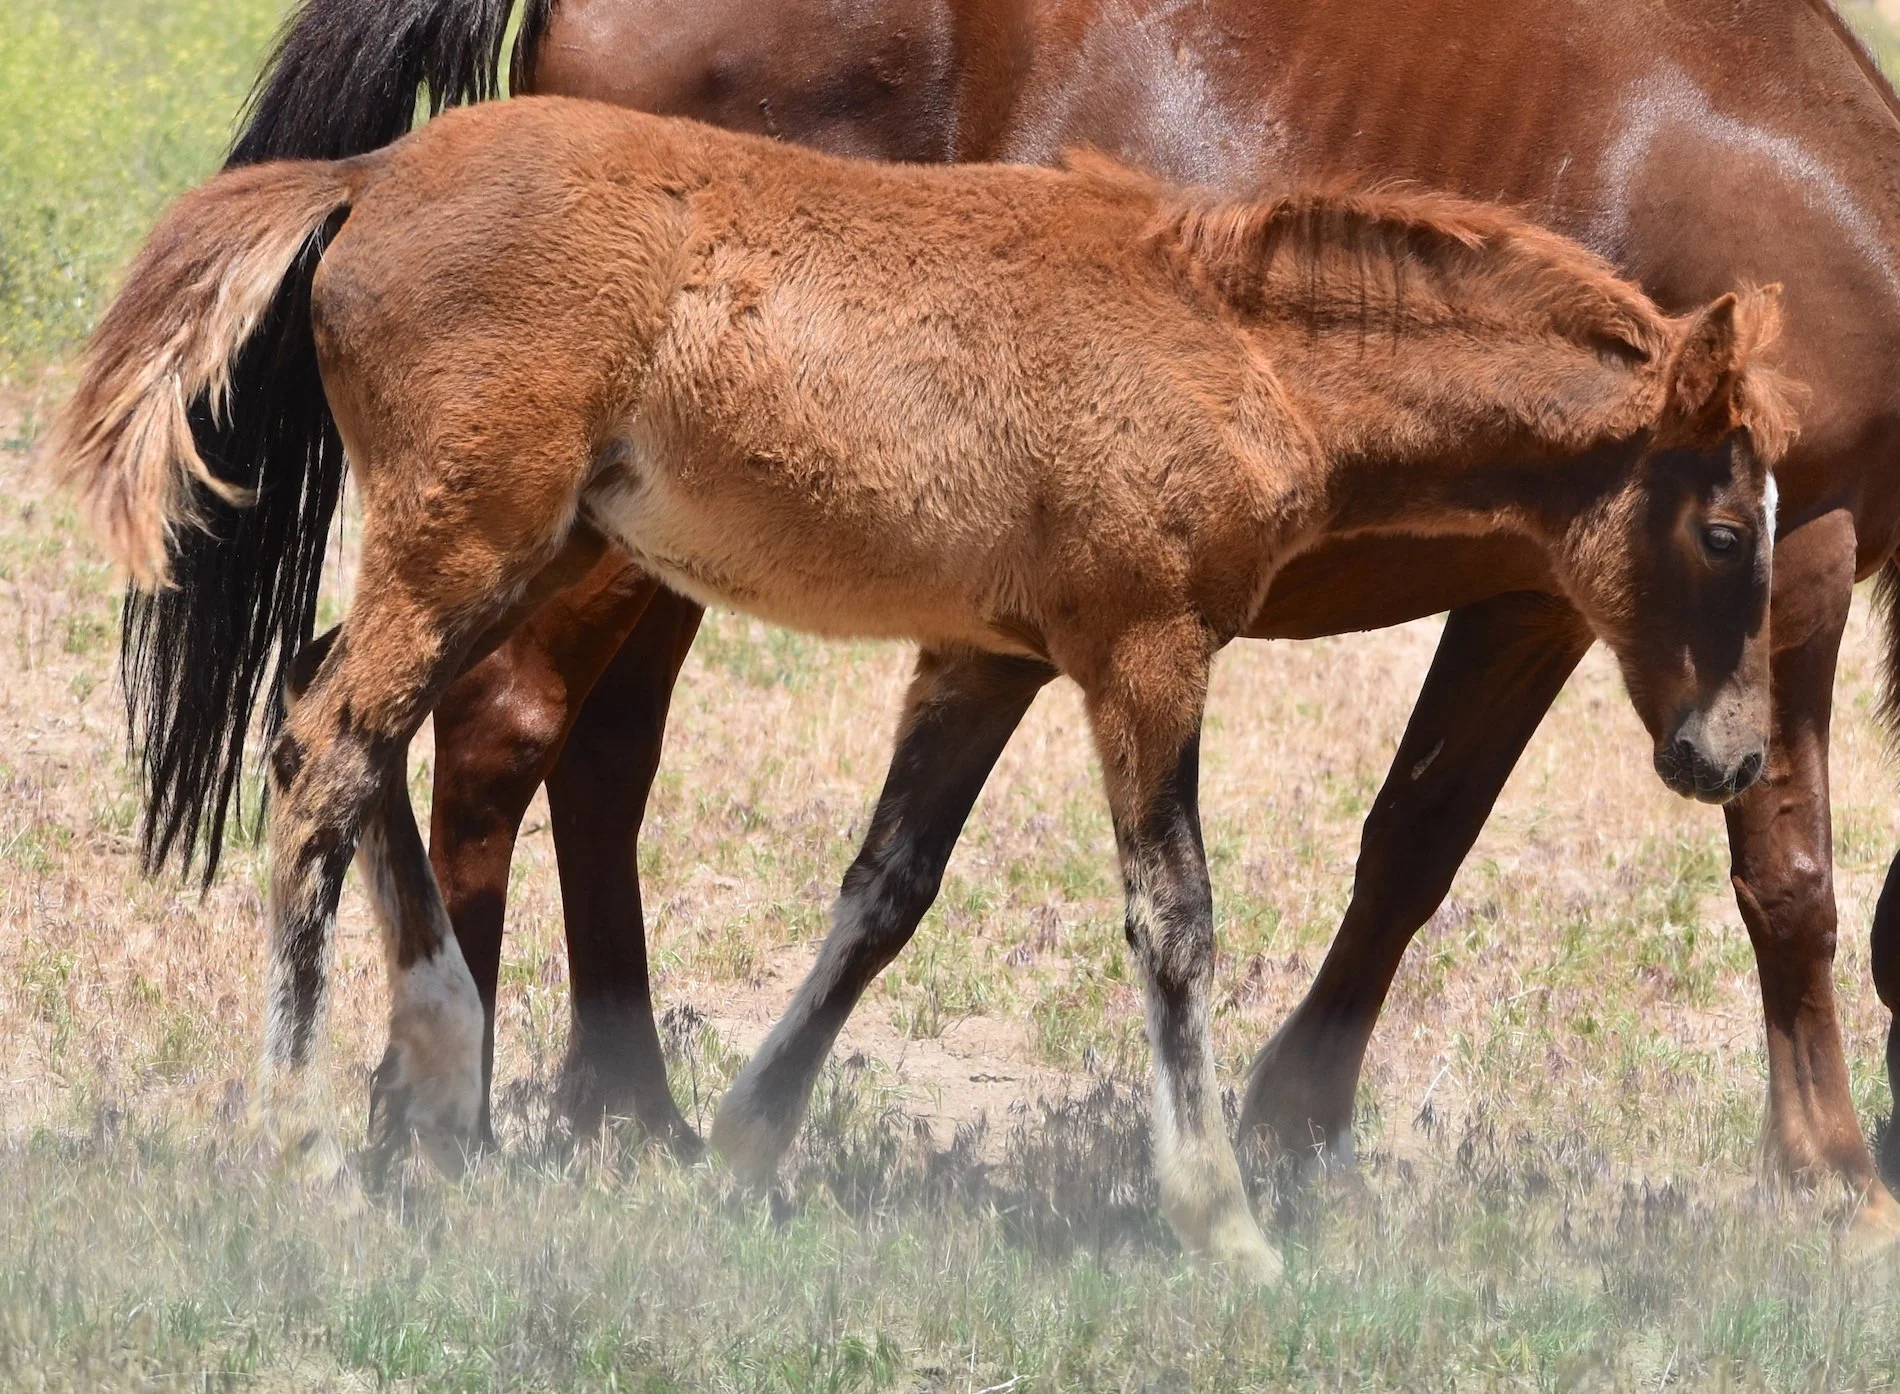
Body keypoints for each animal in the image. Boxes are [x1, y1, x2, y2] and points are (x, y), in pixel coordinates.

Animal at [125, 0, 1900, 1231]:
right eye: (1726, 523)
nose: (1717, 755)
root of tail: (379, 177)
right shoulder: (1169, 644)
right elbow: (1197, 909)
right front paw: (1827, 1170)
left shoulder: (1030, 645)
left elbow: (910, 879)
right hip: (528, 538)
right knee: (427, 731)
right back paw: (394, 1117)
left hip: (584, 540)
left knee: (419, 719)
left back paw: (547, 1088)